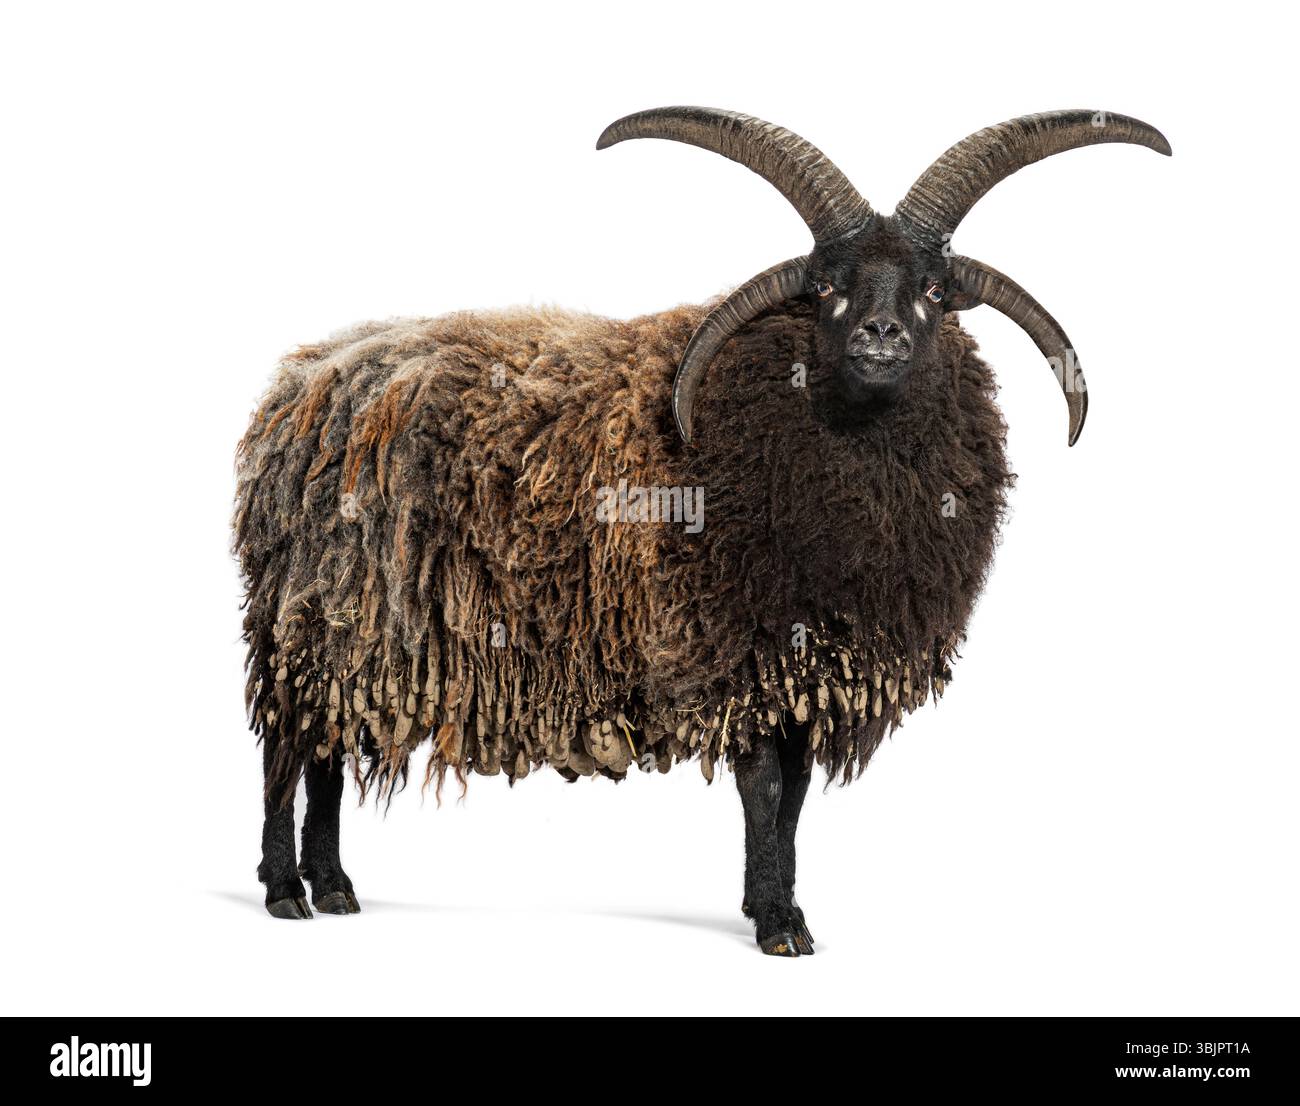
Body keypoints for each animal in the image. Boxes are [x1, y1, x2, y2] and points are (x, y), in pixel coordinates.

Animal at [234, 107, 1169, 953]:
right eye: (825, 286)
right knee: (287, 748)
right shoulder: (736, 648)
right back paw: (286, 890)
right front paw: (781, 927)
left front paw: (771, 903)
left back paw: (335, 885)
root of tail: (301, 384)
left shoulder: (806, 667)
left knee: (323, 752)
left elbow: (793, 796)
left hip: (347, 637)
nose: (881, 333)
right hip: (312, 620)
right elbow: (763, 789)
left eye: (936, 291)